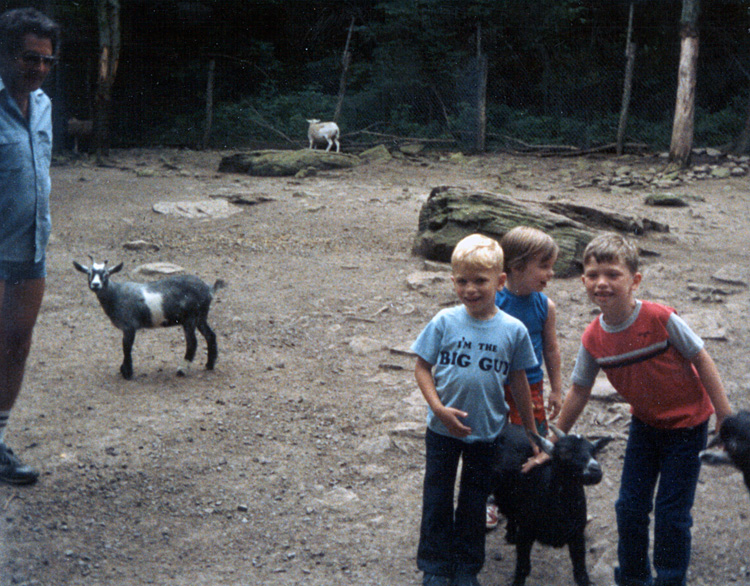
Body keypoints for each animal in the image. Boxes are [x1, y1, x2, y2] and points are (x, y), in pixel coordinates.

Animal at [73, 258, 226, 378]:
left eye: (106, 274)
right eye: (89, 273)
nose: (95, 285)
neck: (116, 294)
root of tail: (209, 289)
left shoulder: (129, 326)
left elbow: (126, 347)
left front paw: (127, 372)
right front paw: (123, 369)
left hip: (190, 318)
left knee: (192, 342)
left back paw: (182, 370)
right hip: (201, 317)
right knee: (210, 335)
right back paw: (209, 364)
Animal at [490, 424, 612, 584]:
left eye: (594, 452)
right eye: (564, 452)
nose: (595, 471)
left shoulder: (578, 535)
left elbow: (580, 573)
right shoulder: (525, 532)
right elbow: (522, 568)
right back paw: (510, 534)